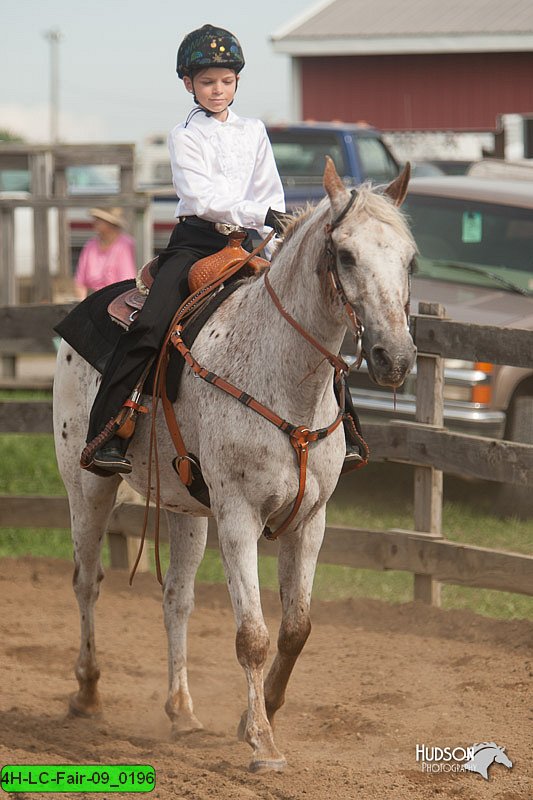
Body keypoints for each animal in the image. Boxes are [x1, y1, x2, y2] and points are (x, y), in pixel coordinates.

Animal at [52, 158, 416, 776]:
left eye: (410, 258)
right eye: (345, 255)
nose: (396, 358)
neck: (286, 379)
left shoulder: (309, 519)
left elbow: (295, 629)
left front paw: (254, 718)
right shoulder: (239, 516)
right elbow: (253, 635)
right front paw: (263, 746)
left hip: (186, 509)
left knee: (177, 598)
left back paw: (181, 711)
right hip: (87, 485)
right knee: (86, 582)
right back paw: (88, 690)